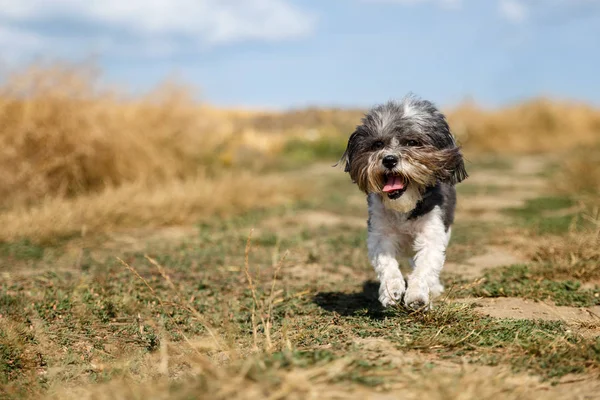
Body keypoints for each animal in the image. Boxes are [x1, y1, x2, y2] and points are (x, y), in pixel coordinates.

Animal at [340, 94, 466, 310]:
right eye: (377, 144)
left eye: (412, 142)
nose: (389, 159)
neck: (404, 206)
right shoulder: (380, 233)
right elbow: (387, 265)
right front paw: (392, 292)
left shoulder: (432, 233)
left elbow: (425, 267)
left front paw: (417, 296)